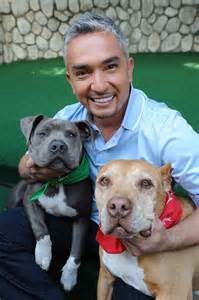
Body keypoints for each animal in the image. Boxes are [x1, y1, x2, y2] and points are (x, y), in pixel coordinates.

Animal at [7, 114, 92, 290]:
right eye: (42, 133)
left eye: (72, 134)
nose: (58, 145)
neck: (57, 180)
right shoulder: (30, 199)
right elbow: (40, 227)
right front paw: (43, 255)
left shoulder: (82, 217)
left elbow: (77, 249)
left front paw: (69, 277)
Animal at [95, 161, 199, 300]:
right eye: (105, 180)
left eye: (146, 183)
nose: (118, 206)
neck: (124, 248)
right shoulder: (105, 278)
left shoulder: (173, 293)